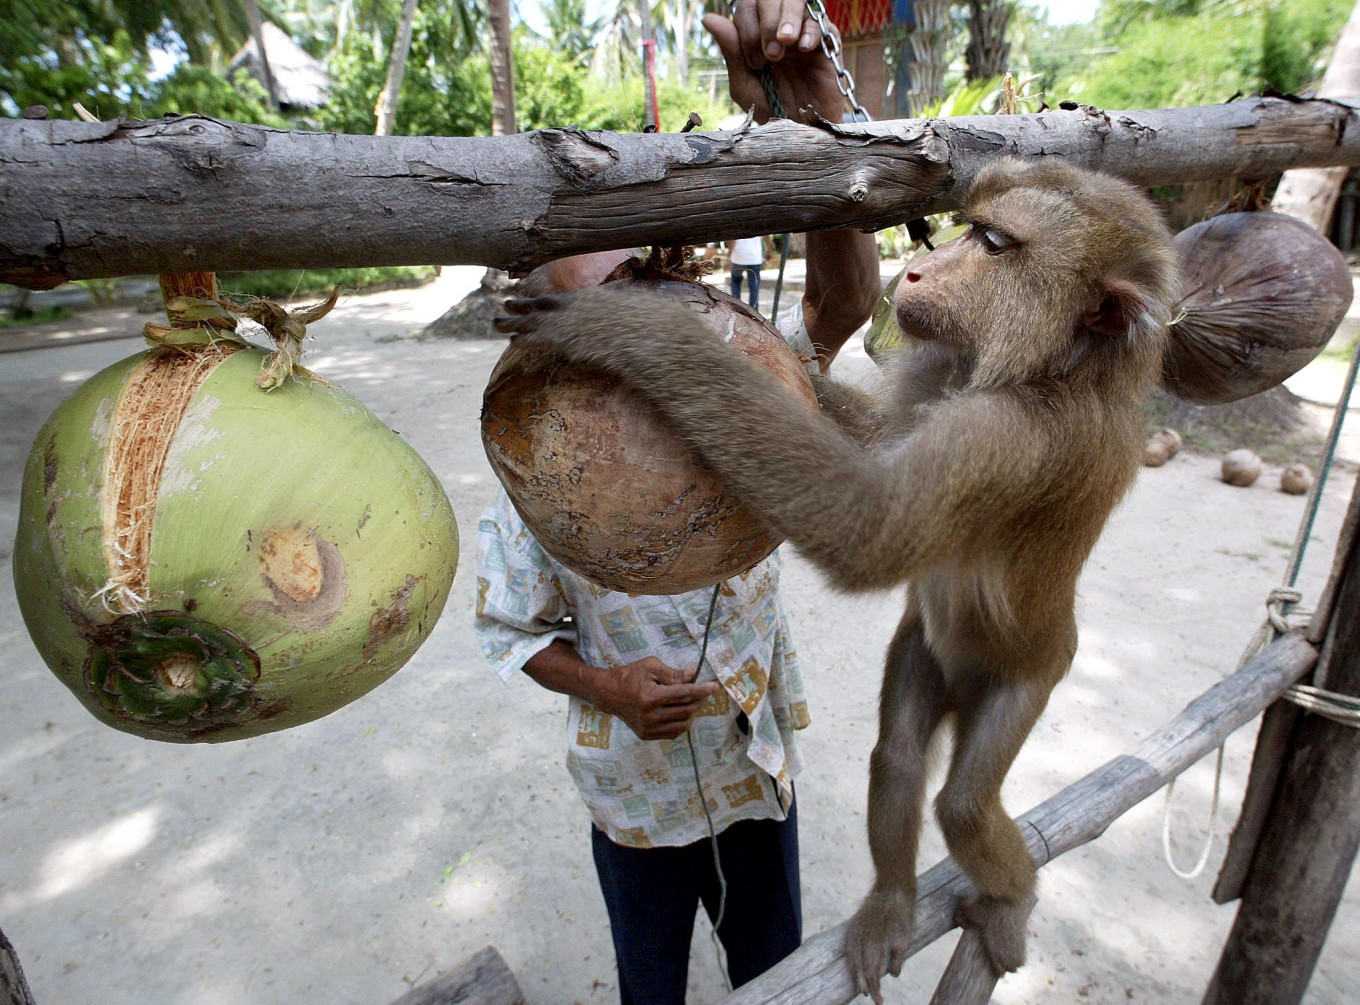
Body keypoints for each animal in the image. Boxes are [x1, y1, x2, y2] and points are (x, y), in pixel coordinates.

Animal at [494, 158, 1179, 1001]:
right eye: (968, 227)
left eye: (993, 243)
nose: (915, 270)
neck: (1068, 365)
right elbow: (877, 444)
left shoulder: (1017, 434)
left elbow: (867, 524)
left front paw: (624, 325)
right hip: (924, 652)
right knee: (899, 758)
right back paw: (891, 902)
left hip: (1037, 668)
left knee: (964, 803)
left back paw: (1009, 897)